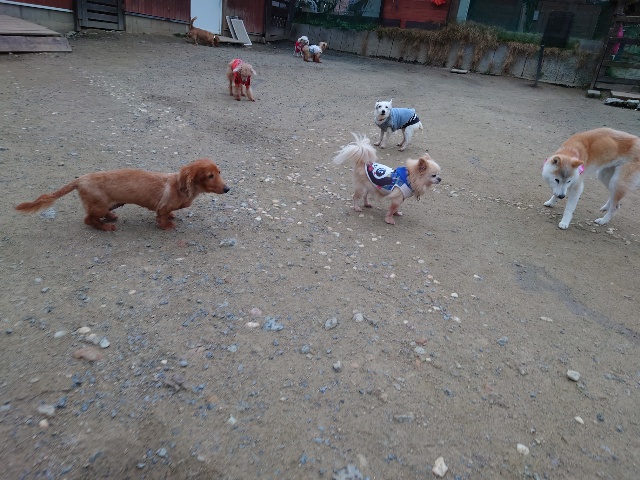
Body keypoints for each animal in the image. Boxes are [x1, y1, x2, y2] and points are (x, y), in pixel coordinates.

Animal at [15, 159, 229, 231]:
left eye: (219, 172)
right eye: (210, 176)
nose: (228, 189)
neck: (179, 186)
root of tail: (80, 180)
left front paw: (172, 217)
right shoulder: (162, 207)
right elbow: (161, 218)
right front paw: (167, 225)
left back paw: (110, 217)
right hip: (98, 204)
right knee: (88, 219)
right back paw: (106, 227)